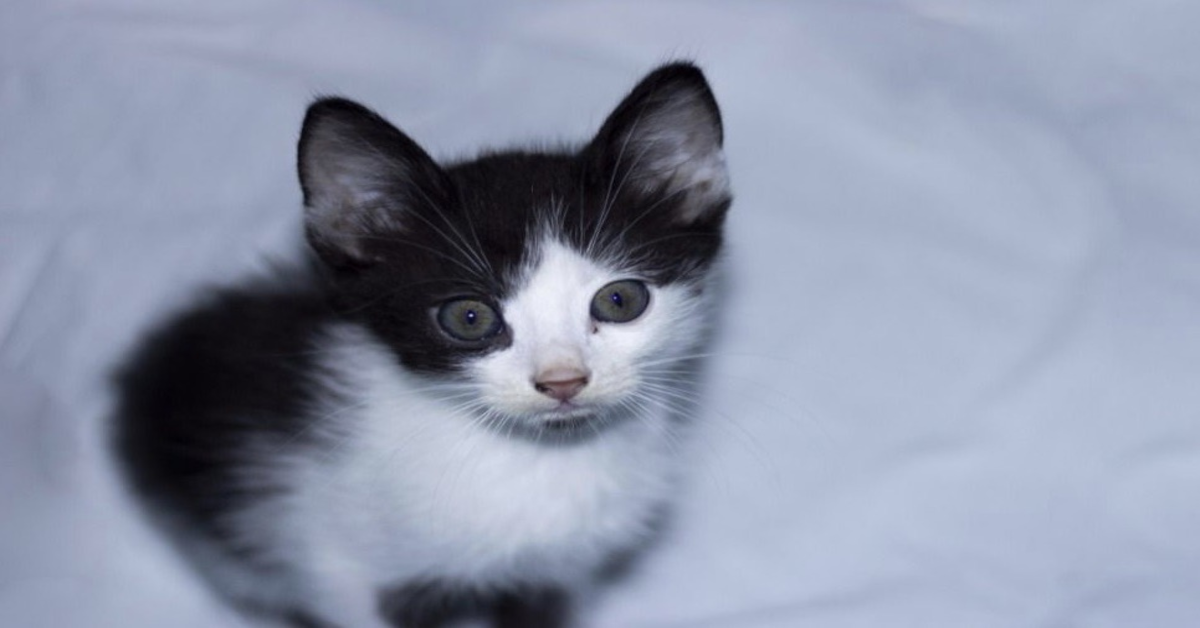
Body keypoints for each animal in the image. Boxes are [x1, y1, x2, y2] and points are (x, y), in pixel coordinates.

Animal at [114, 60, 729, 628]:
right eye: (469, 317)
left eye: (620, 300)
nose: (562, 380)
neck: (534, 464)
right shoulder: (345, 571)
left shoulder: (551, 575)